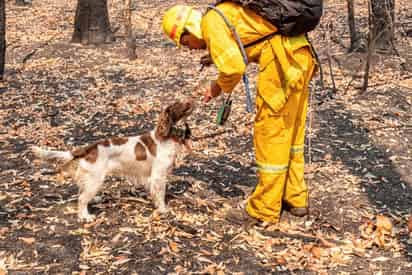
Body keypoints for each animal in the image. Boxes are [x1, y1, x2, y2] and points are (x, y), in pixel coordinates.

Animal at [31, 101, 193, 222]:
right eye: (178, 104)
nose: (191, 101)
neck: (167, 137)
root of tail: (90, 148)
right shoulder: (158, 176)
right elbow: (160, 195)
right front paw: (163, 209)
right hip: (96, 179)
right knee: (82, 198)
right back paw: (85, 217)